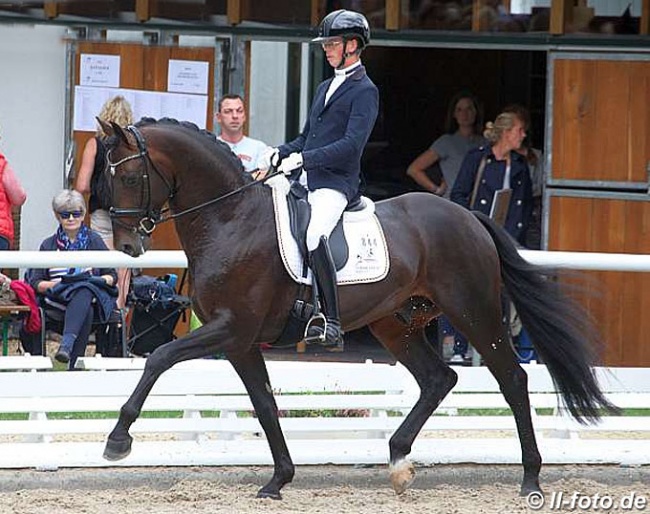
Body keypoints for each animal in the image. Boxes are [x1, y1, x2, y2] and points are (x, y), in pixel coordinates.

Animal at [98, 119, 616, 496]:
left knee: (511, 378)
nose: (126, 245)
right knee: (439, 379)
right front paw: (278, 480)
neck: (230, 218)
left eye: (130, 176)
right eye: (107, 177)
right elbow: (264, 403)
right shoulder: (241, 341)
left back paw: (530, 478)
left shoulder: (231, 328)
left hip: (474, 311)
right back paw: (399, 460)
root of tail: (468, 215)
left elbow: (160, 358)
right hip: (397, 324)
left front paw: (117, 440)